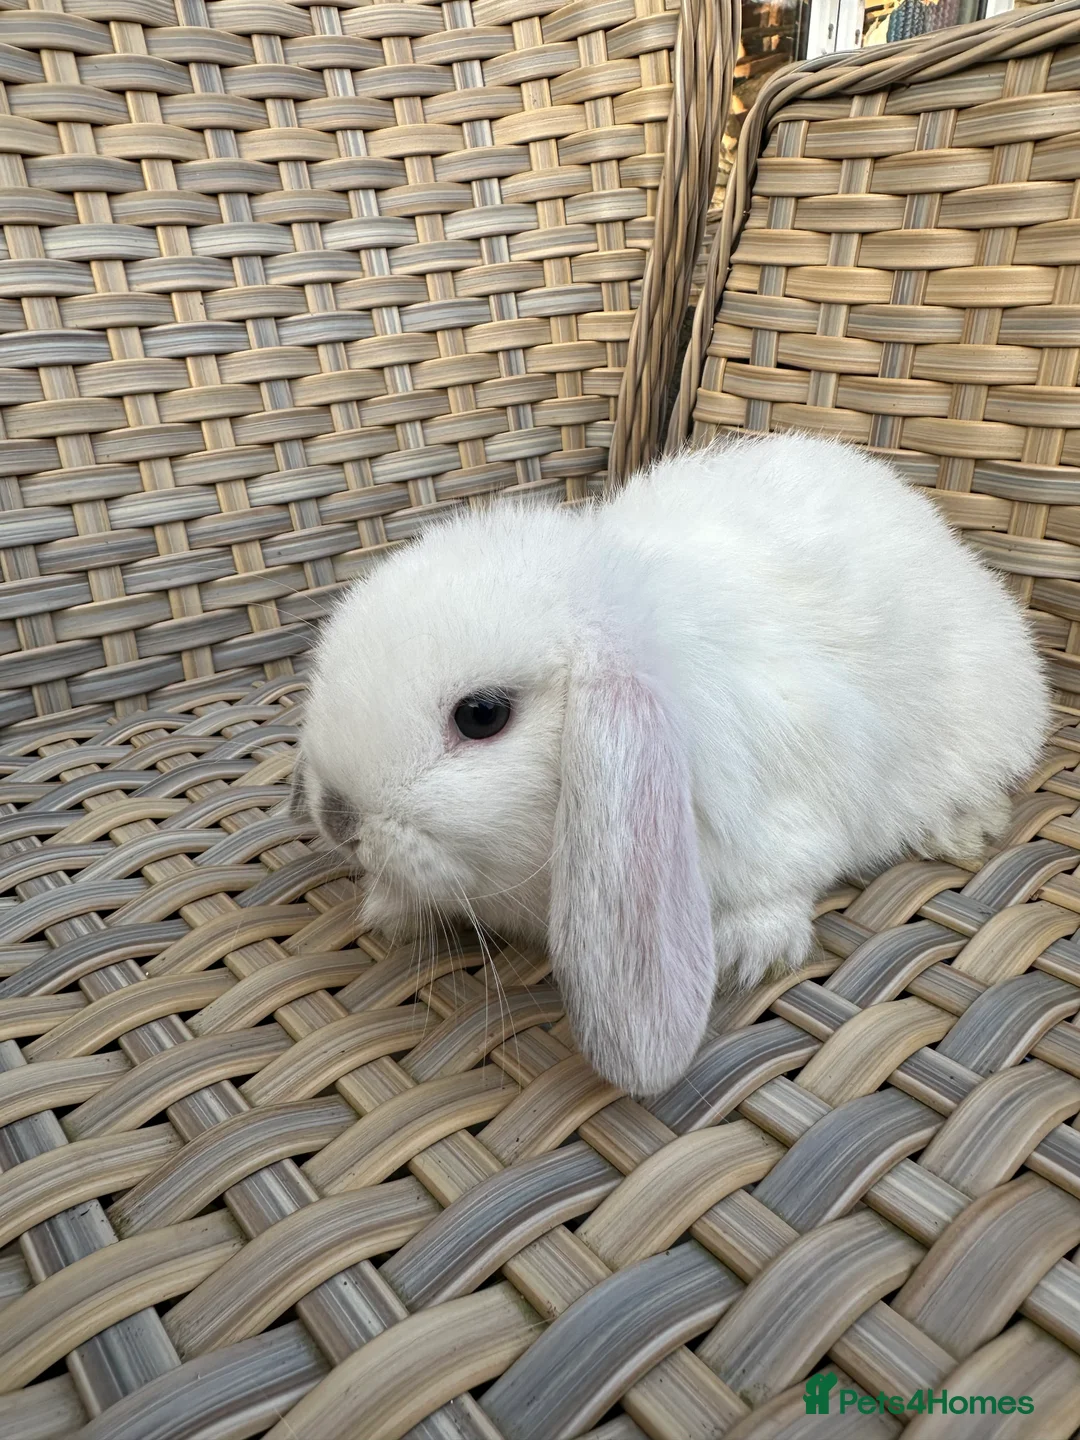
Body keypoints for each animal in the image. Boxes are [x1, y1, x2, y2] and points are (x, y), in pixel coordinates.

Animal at [294, 433, 1049, 1096]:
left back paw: (963, 827)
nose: (337, 819)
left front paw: (751, 949)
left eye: (482, 715)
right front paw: (387, 906)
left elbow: (786, 876)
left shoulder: (789, 808)